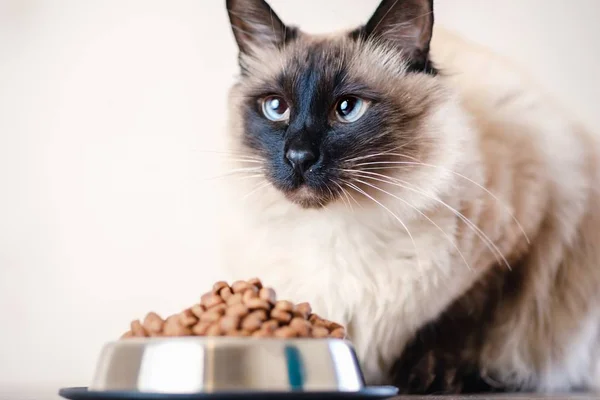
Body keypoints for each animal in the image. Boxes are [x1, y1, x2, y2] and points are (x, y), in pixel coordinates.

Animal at [218, 0, 600, 394]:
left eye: (347, 108)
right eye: (276, 108)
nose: (299, 157)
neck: (339, 227)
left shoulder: (513, 249)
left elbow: (452, 326)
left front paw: (429, 377)